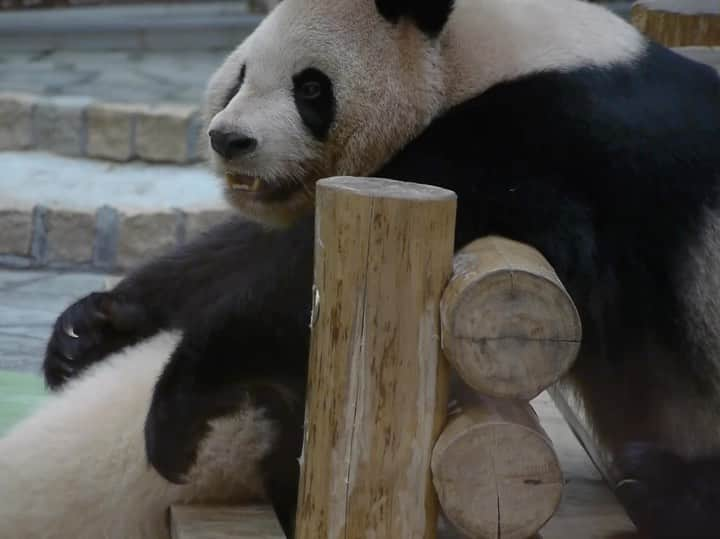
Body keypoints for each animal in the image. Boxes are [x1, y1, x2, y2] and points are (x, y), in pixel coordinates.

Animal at [15, 0, 720, 536]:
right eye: (240, 75)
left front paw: (185, 402)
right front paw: (88, 330)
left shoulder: (560, 135)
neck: (483, 52)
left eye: (309, 86)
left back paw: (654, 481)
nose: (228, 139)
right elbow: (256, 250)